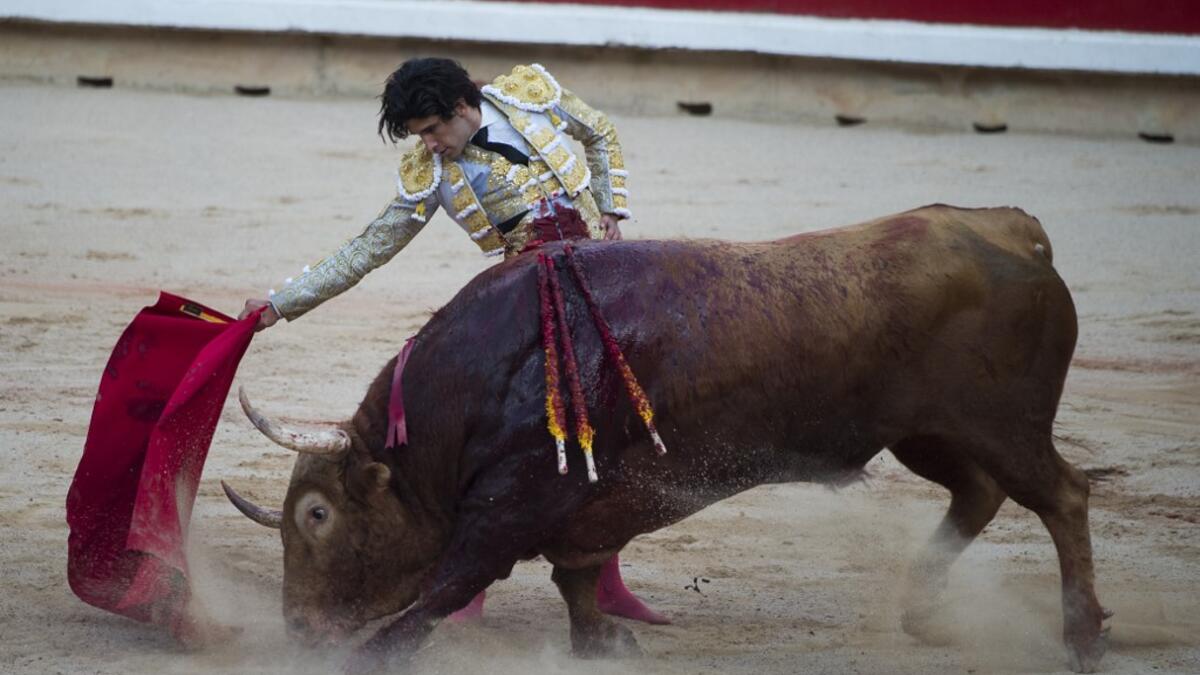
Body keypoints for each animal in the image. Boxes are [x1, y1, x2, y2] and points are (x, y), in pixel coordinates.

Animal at [223, 205, 1108, 672]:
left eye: (316, 515)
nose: (297, 629)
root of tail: (1012, 229)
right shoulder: (582, 507)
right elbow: (575, 578)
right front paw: (602, 641)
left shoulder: (507, 511)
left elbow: (445, 587)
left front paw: (368, 654)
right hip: (929, 433)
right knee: (981, 493)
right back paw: (925, 611)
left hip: (1002, 425)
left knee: (1061, 495)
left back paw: (1082, 632)